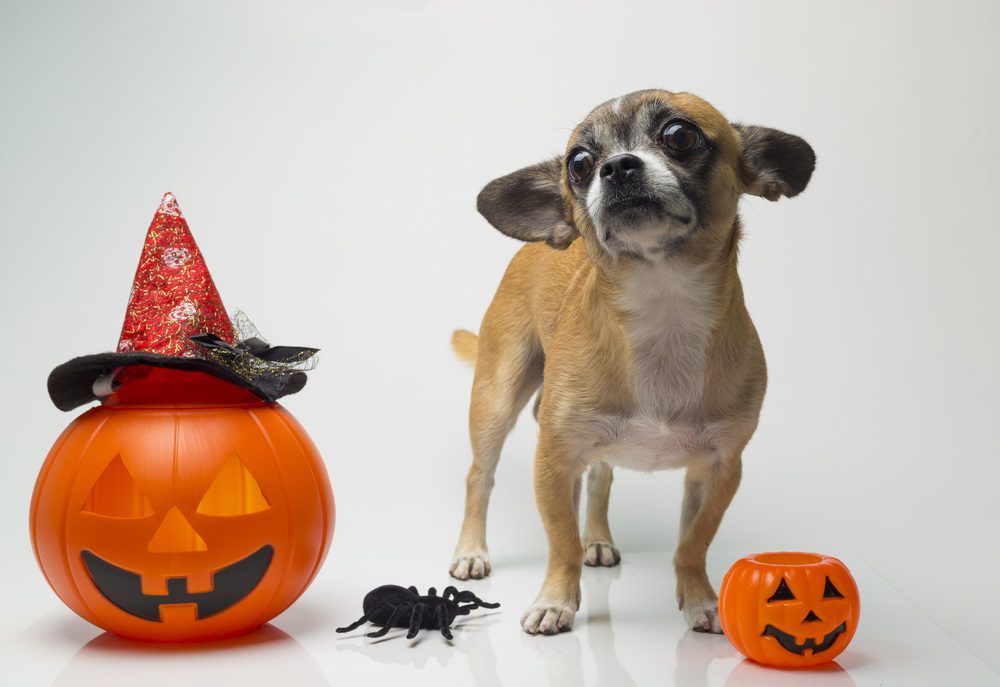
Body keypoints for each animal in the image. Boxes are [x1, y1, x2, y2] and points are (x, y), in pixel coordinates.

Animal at [450, 90, 816, 636]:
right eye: (579, 163)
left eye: (680, 136)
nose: (618, 166)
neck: (663, 308)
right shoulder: (553, 462)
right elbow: (560, 542)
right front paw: (556, 601)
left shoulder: (719, 470)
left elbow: (693, 543)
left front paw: (701, 600)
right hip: (497, 396)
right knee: (481, 477)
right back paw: (473, 551)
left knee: (600, 476)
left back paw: (598, 539)